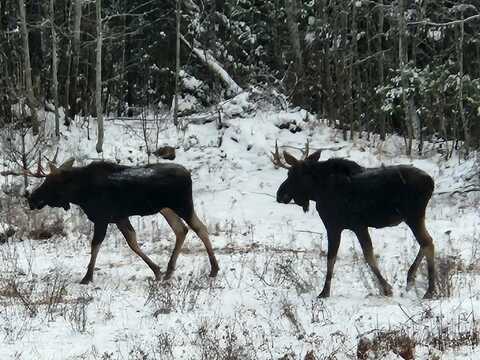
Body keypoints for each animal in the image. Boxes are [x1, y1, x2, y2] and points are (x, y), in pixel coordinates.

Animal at [27, 159, 218, 286]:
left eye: (49, 183)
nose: (31, 199)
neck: (79, 194)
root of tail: (189, 174)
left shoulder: (102, 218)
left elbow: (95, 245)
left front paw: (87, 277)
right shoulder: (119, 218)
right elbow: (132, 242)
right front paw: (157, 270)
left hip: (182, 205)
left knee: (200, 228)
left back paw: (214, 269)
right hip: (166, 208)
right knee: (181, 230)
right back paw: (169, 271)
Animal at [274, 143, 436, 298]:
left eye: (291, 174)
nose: (280, 194)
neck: (317, 191)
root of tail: (431, 182)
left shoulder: (343, 226)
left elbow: (345, 257)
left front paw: (324, 292)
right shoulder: (349, 226)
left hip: (413, 216)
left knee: (427, 243)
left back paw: (429, 291)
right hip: (415, 217)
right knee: (428, 241)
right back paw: (411, 279)